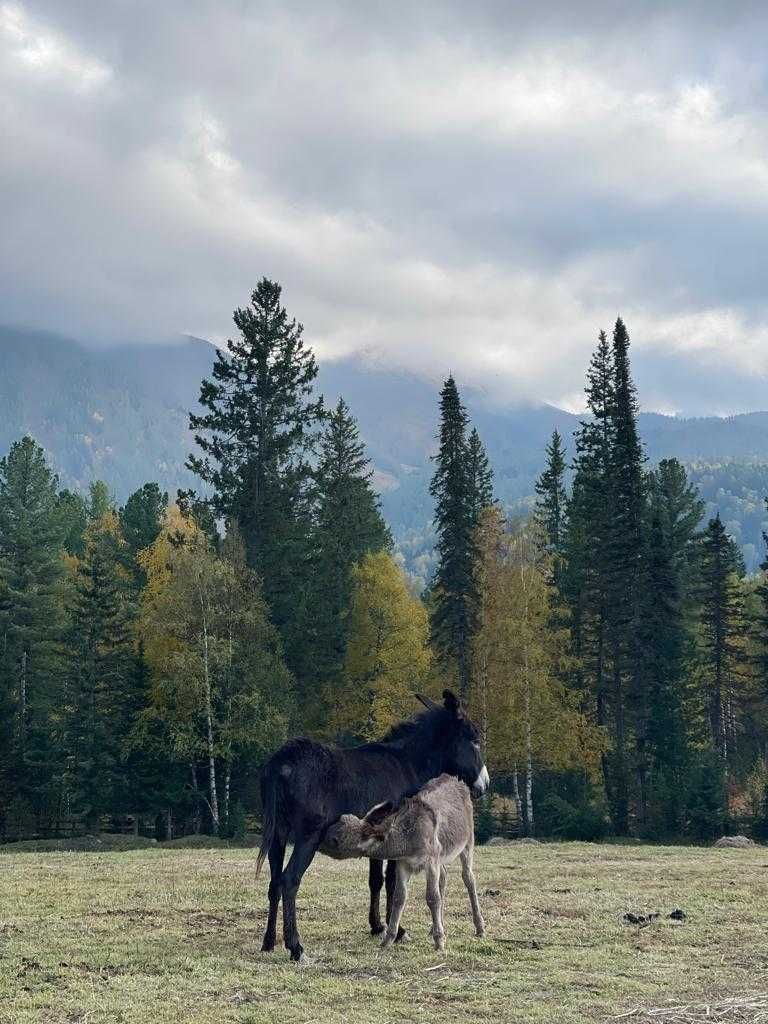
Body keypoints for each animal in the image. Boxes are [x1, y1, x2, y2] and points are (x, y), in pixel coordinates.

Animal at [325, 774, 487, 950]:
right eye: (339, 821)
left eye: (336, 840)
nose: (320, 837)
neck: (409, 838)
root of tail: (454, 778)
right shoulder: (403, 864)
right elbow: (399, 897)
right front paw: (388, 940)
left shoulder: (431, 860)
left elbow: (432, 897)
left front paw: (439, 942)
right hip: (442, 854)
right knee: (444, 876)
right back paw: (435, 927)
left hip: (467, 842)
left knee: (468, 878)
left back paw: (479, 928)